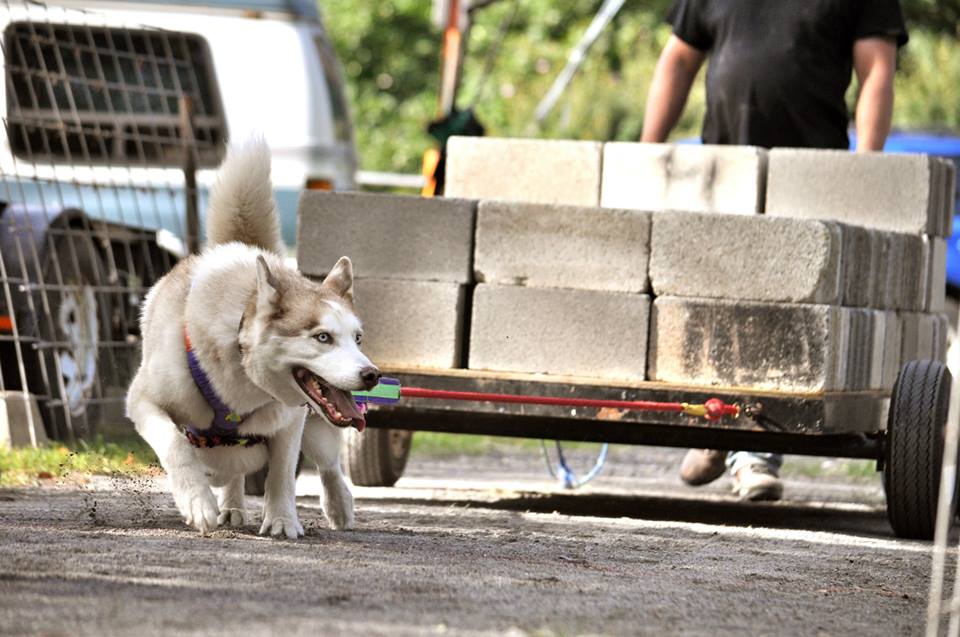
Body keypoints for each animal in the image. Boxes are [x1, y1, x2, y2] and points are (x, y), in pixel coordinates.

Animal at [121, 139, 376, 536]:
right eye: (322, 337)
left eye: (358, 338)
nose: (371, 374)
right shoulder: (144, 400)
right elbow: (175, 444)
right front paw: (197, 501)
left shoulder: (290, 421)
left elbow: (282, 474)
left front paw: (282, 519)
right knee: (228, 468)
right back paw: (231, 506)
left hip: (317, 431)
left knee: (329, 463)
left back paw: (338, 505)